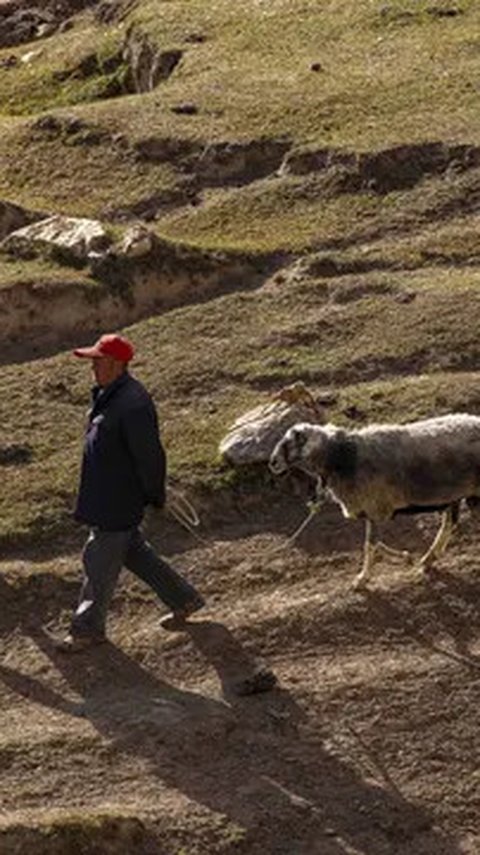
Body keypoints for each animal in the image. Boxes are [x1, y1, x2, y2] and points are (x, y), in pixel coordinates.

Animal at [268, 412, 480, 588]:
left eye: (290, 442)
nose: (272, 463)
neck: (342, 457)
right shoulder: (374, 511)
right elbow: (376, 543)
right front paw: (405, 556)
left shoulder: (375, 508)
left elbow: (370, 545)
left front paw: (362, 579)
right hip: (456, 495)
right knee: (449, 524)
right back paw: (428, 559)